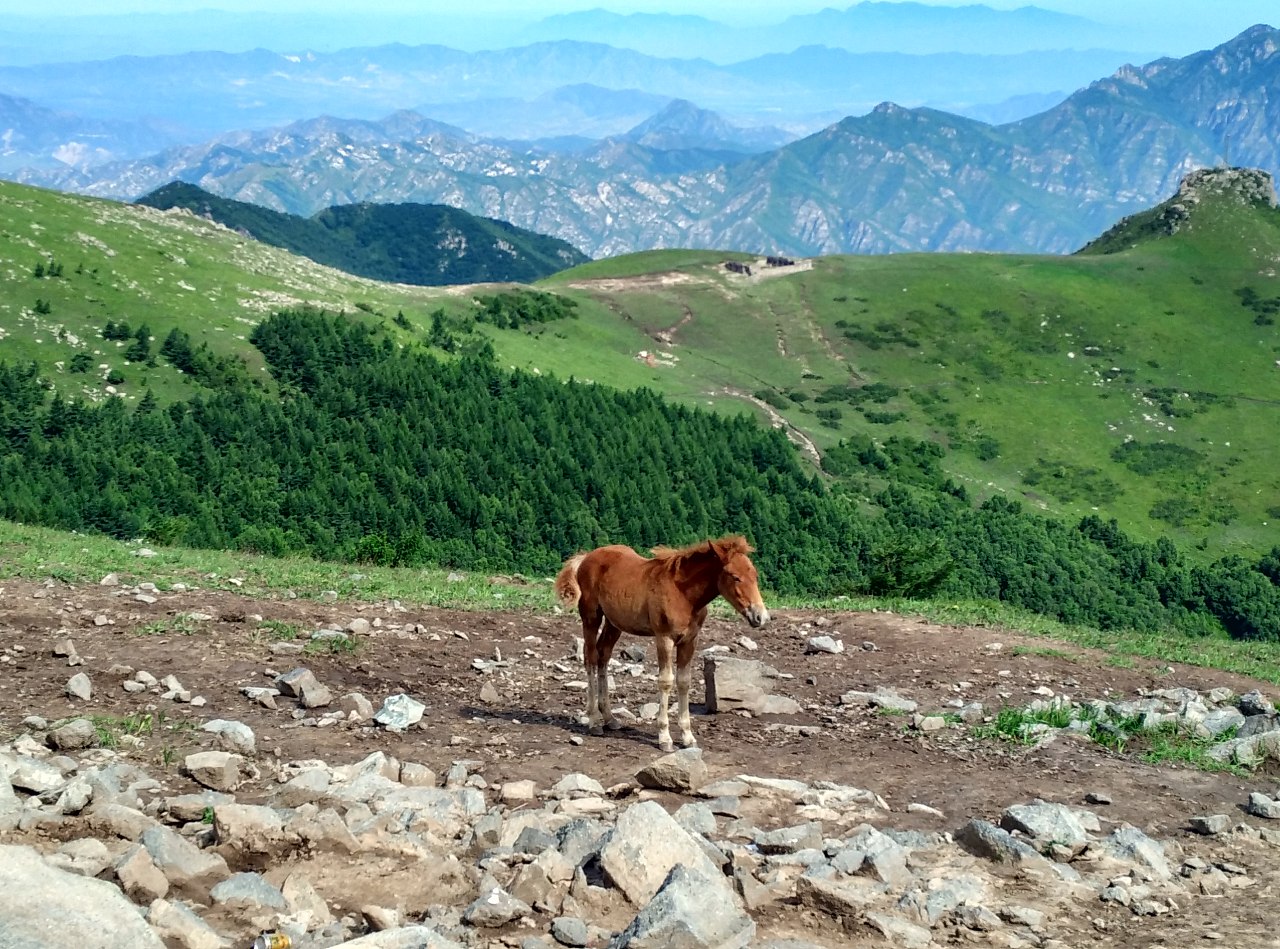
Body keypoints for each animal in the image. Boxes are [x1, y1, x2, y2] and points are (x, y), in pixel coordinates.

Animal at [552, 537, 768, 753]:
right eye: (735, 577)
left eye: (755, 575)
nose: (760, 616)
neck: (684, 595)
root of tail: (586, 557)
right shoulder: (664, 638)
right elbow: (665, 681)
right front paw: (665, 738)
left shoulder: (690, 640)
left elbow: (684, 681)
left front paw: (688, 737)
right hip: (591, 617)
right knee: (590, 657)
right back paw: (594, 722)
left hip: (614, 623)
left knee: (603, 655)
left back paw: (610, 719)